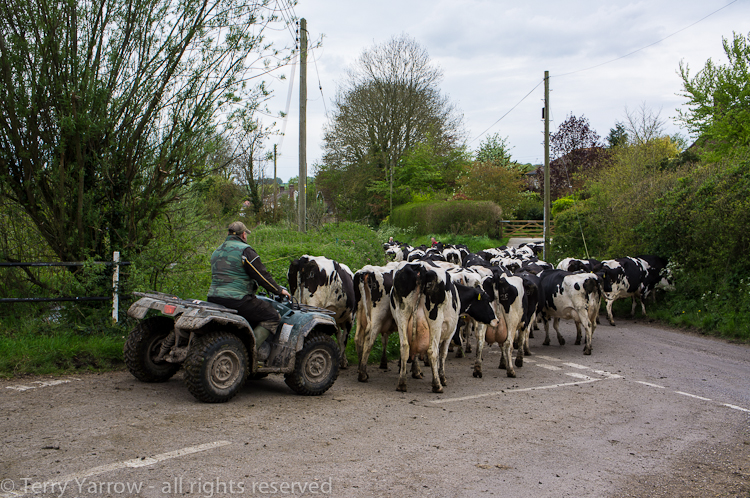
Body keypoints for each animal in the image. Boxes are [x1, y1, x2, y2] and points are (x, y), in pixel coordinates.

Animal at [390, 261, 497, 393]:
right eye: (486, 300)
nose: (496, 320)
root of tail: (422, 268)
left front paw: (417, 371)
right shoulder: (449, 332)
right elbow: (442, 354)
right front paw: (442, 377)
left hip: (402, 318)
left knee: (405, 347)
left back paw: (402, 383)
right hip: (435, 322)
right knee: (432, 351)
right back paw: (437, 385)